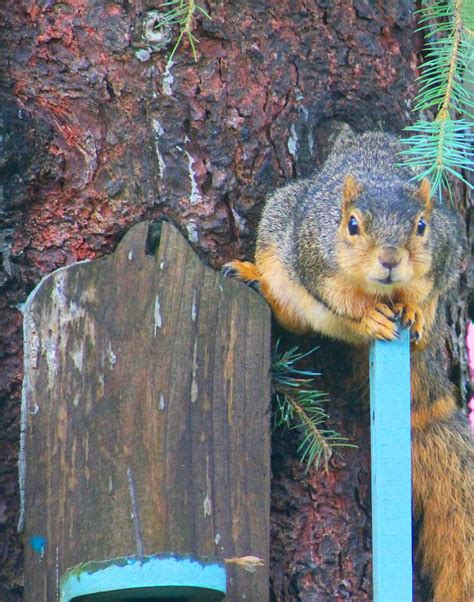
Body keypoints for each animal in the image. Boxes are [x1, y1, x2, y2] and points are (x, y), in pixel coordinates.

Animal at [224, 132, 472, 600]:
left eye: (421, 226)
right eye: (352, 225)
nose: (390, 259)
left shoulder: (447, 252)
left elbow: (428, 290)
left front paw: (414, 310)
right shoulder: (314, 256)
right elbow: (340, 298)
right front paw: (367, 315)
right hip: (281, 243)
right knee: (291, 313)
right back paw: (255, 279)